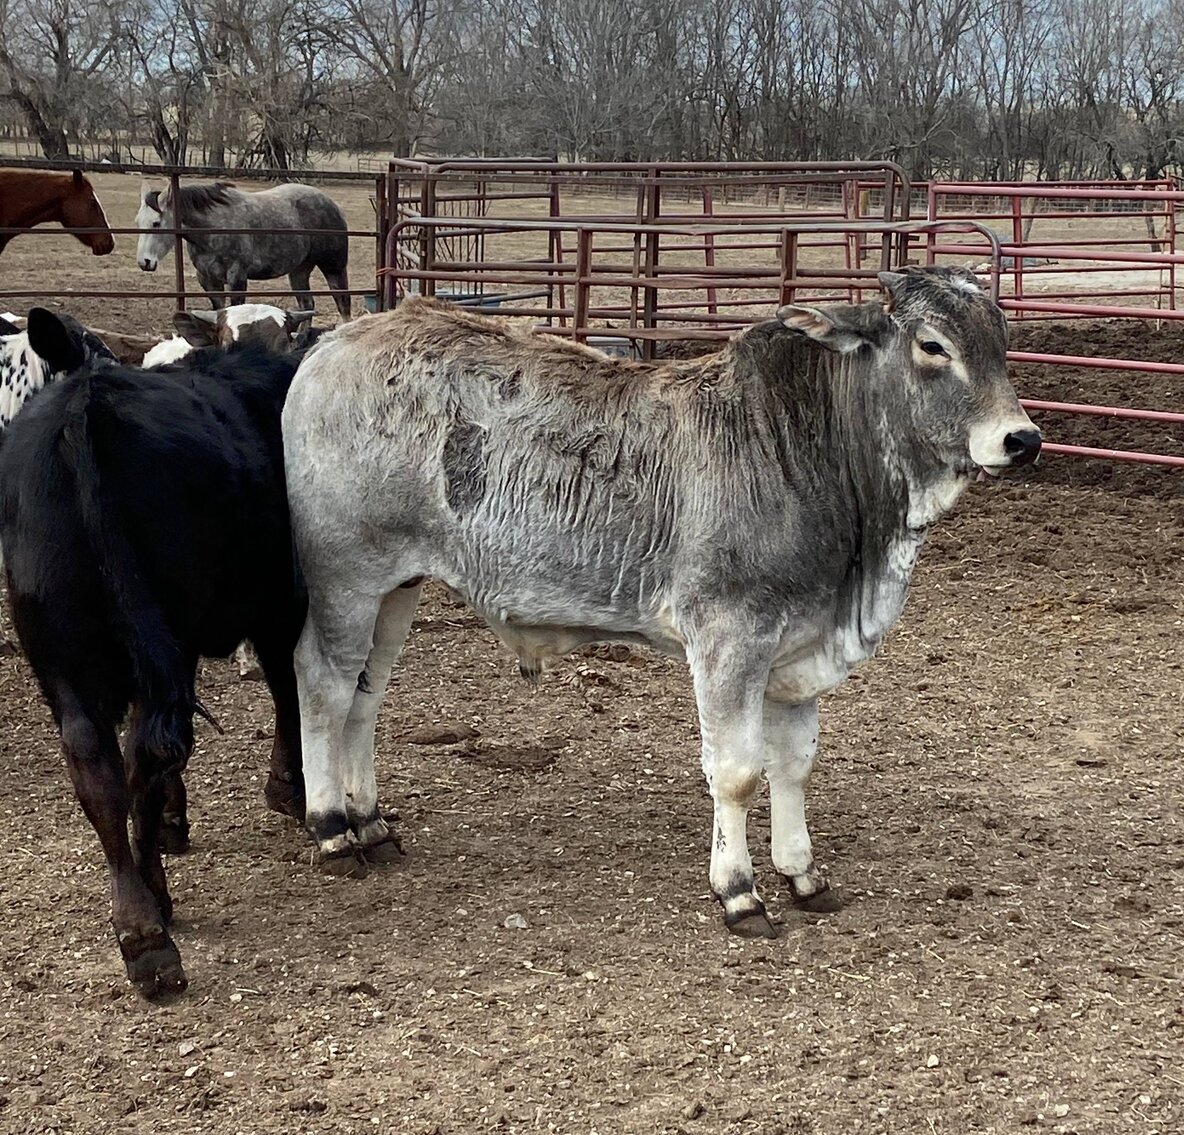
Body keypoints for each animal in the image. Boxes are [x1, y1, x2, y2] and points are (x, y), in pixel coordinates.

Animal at [135, 181, 352, 319]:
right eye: (138, 222)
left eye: (156, 223)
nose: (144, 262)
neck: (215, 225)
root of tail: (332, 204)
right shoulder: (208, 280)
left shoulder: (237, 277)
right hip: (299, 271)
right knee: (307, 306)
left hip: (334, 269)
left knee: (343, 305)